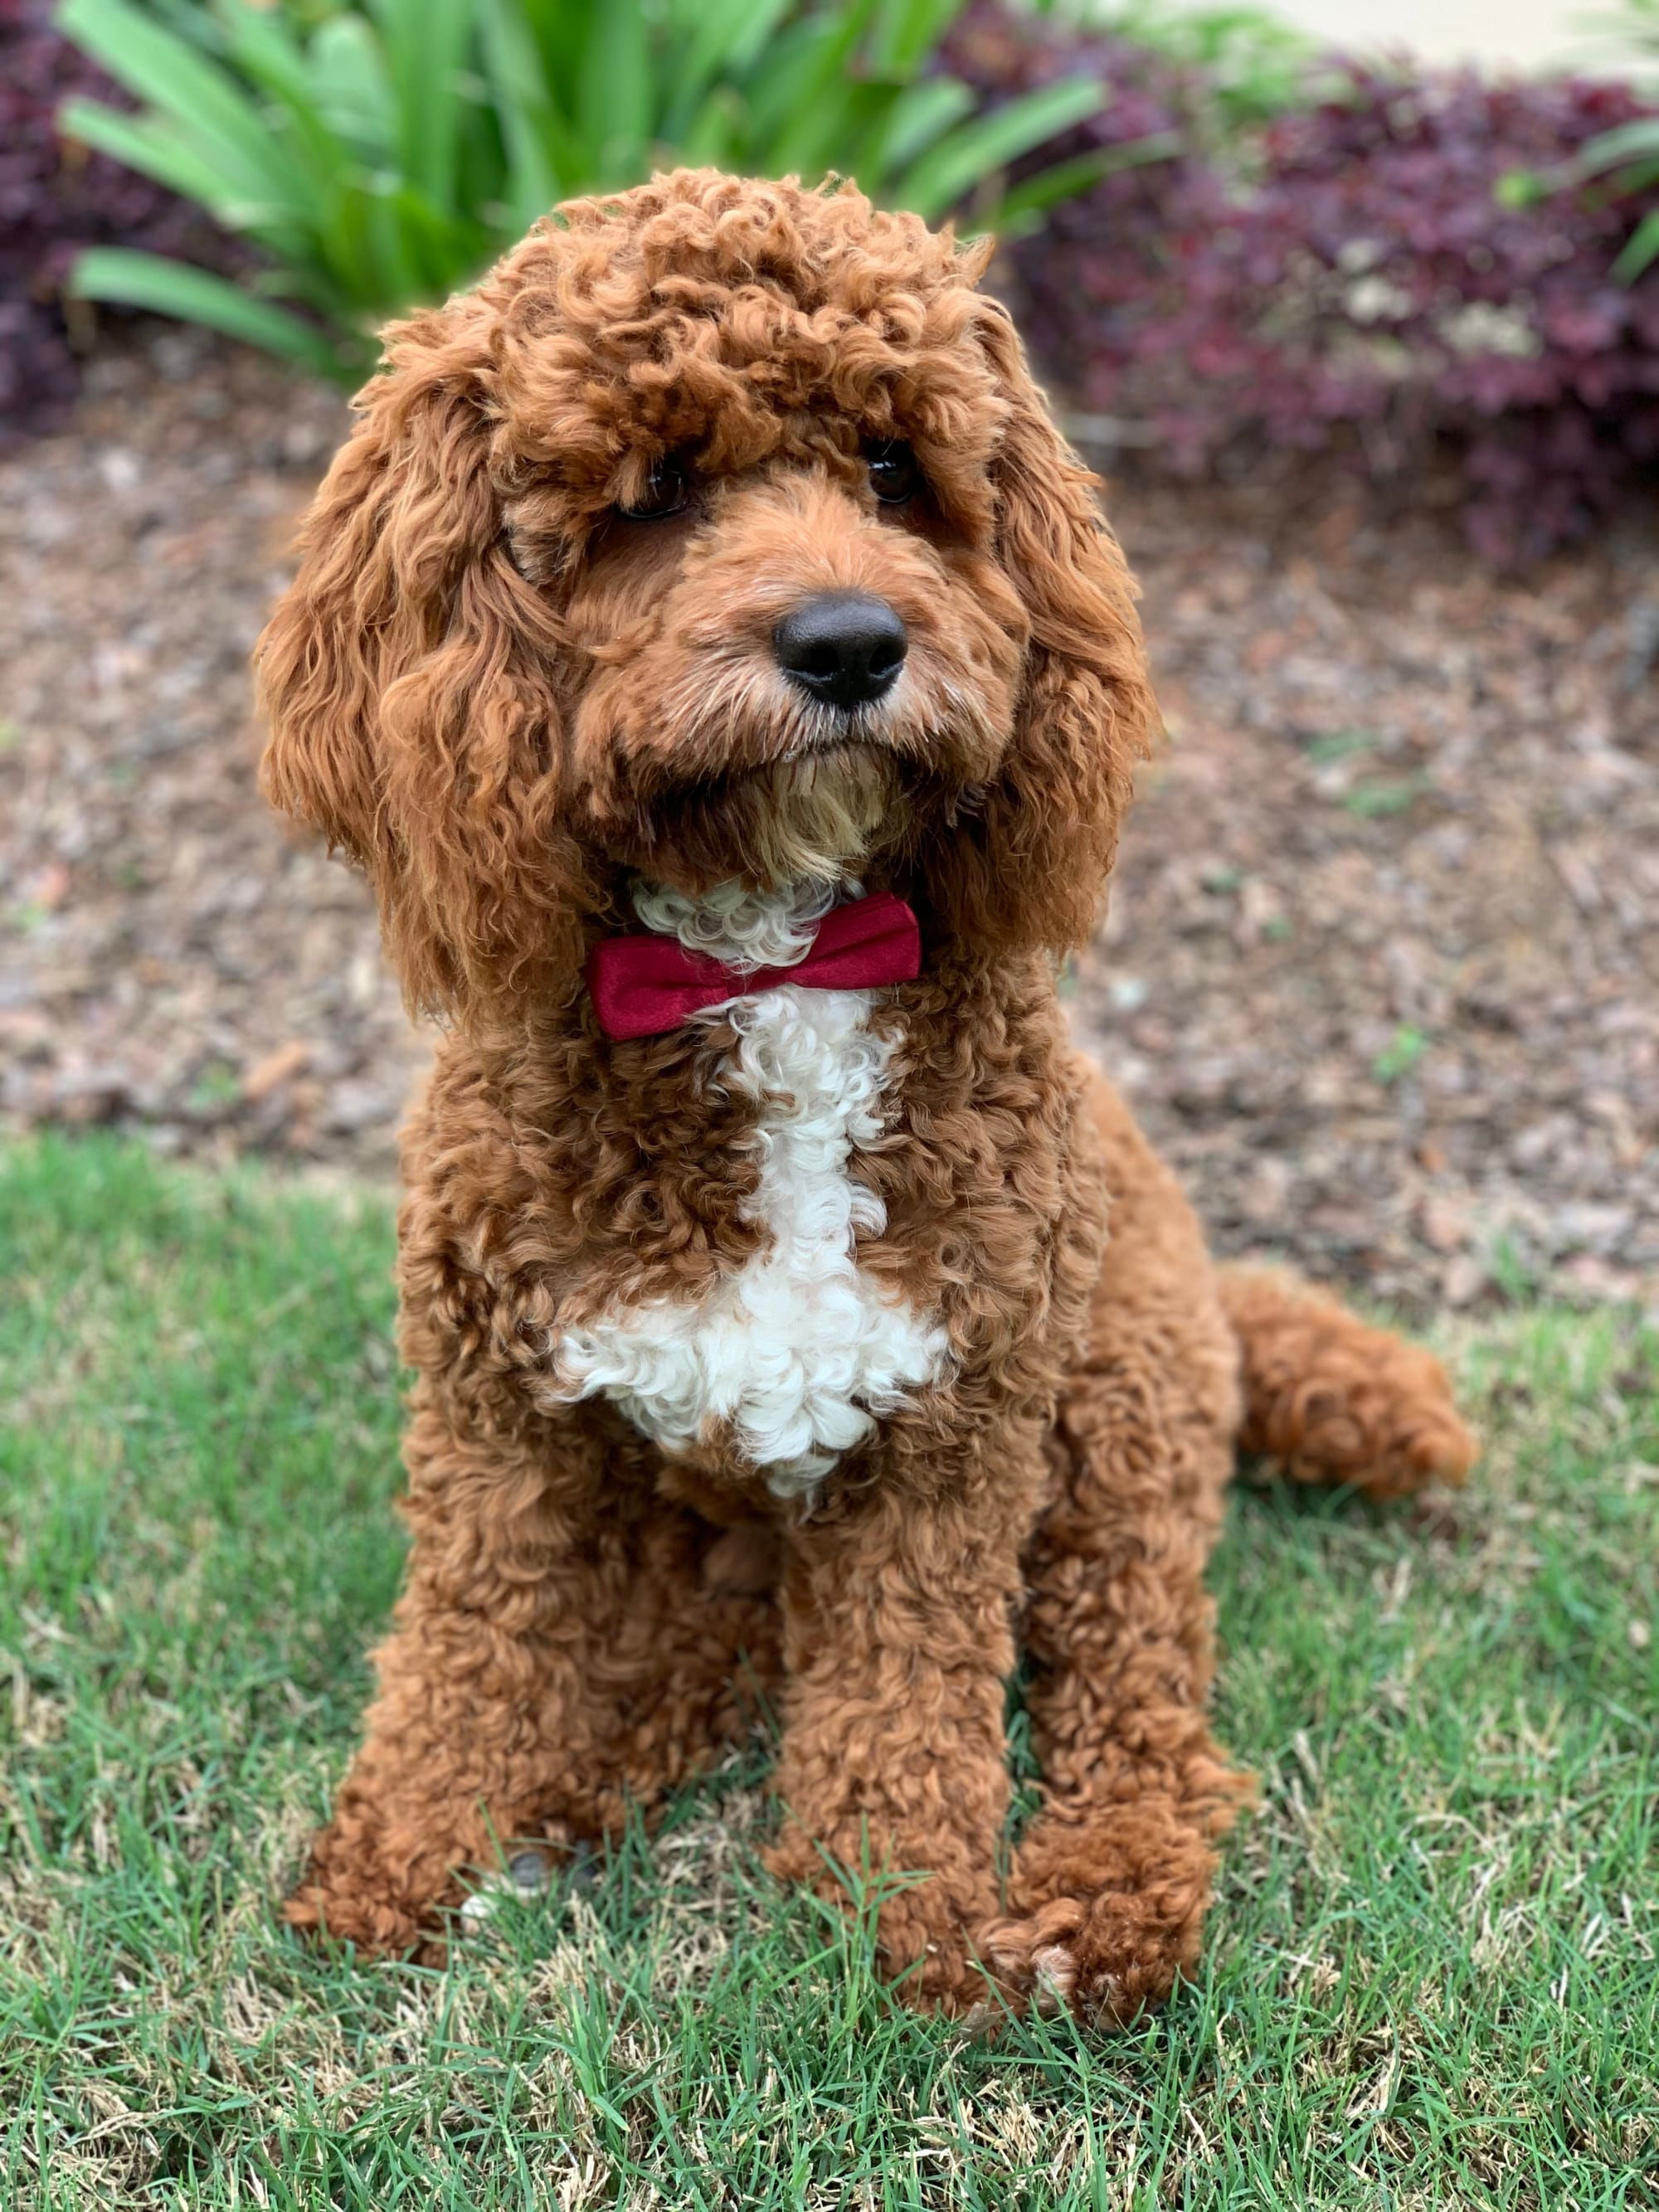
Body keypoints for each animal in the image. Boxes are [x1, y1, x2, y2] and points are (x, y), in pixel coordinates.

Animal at [253, 163, 1477, 2017]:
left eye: (899, 471)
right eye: (656, 491)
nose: (849, 642)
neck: (770, 962)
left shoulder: (950, 1439)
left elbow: (904, 1699)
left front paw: (889, 1922)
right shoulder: (498, 1420)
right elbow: (466, 1646)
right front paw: (398, 1855)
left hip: (1110, 1430)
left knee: (1145, 1711)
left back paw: (1095, 1906)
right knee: (709, 1636)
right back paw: (573, 1776)